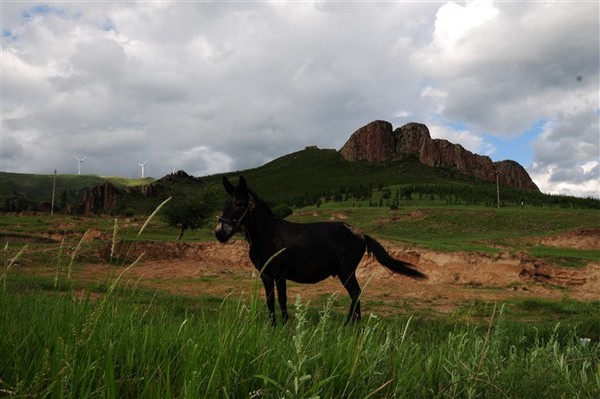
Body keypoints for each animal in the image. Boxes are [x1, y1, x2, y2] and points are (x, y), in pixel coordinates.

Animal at [216, 177, 426, 324]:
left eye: (240, 204)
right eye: (225, 203)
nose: (219, 233)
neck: (267, 235)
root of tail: (361, 234)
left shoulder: (280, 273)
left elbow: (282, 299)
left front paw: (284, 326)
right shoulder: (265, 274)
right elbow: (269, 300)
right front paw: (272, 326)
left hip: (346, 271)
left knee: (356, 293)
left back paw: (349, 325)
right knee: (355, 294)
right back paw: (353, 325)